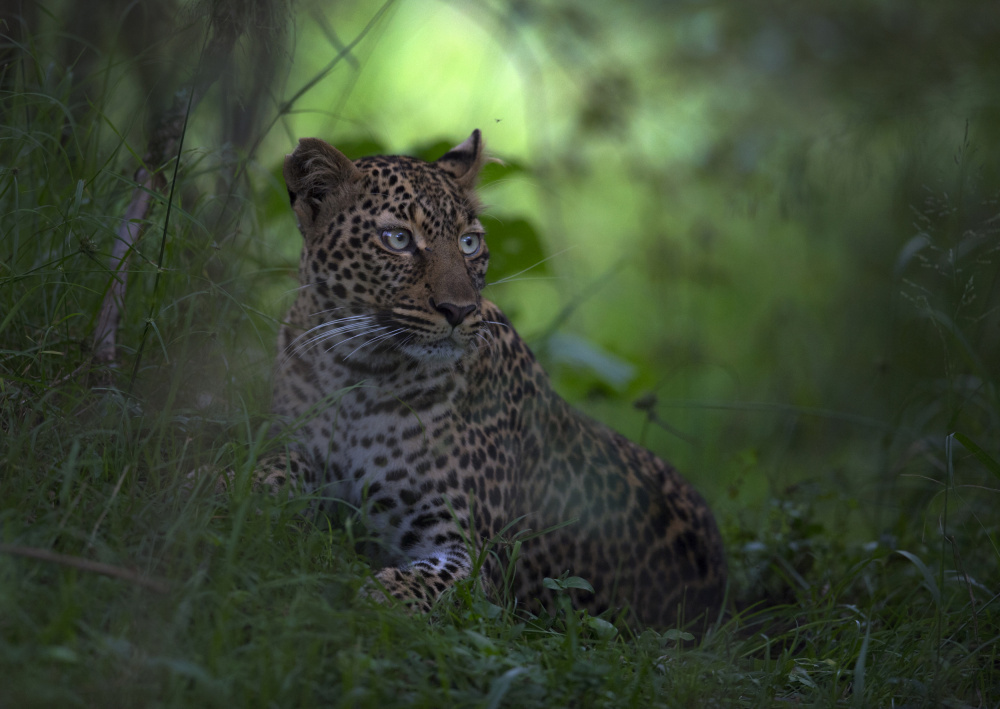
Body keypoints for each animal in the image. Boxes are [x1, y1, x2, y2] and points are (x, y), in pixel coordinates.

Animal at [254, 130, 728, 628]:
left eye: (468, 243)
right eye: (397, 239)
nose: (459, 310)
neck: (359, 374)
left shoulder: (473, 553)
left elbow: (414, 586)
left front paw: (363, 602)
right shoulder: (295, 440)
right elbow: (270, 470)